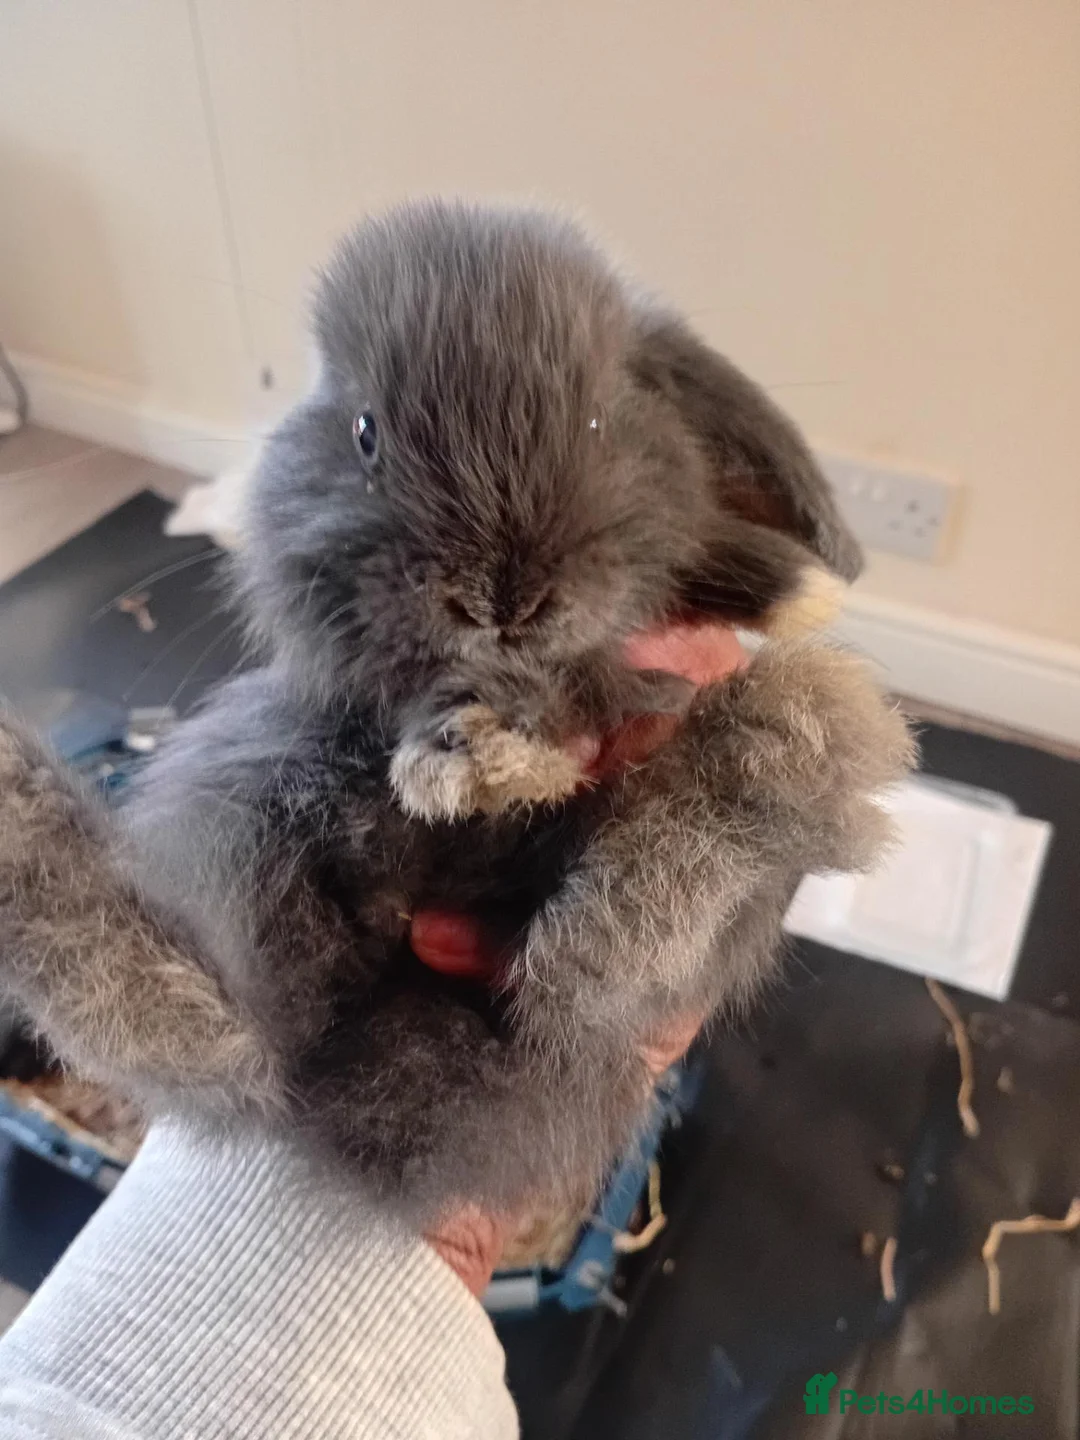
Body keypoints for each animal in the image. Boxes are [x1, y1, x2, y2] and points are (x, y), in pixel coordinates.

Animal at [0, 201, 914, 1221]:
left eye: (598, 422)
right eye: (366, 433)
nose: (502, 597)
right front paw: (475, 754)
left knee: (589, 973)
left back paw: (764, 753)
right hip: (251, 813)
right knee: (216, 1032)